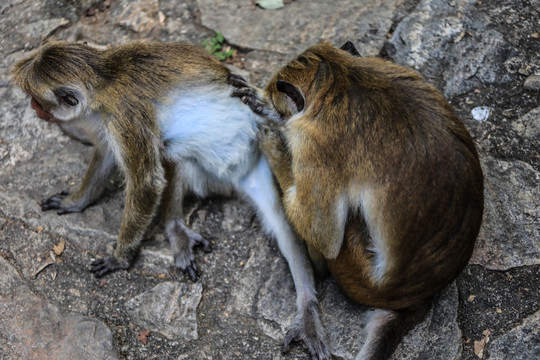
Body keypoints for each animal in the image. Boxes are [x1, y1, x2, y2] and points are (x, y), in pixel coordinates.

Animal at [236, 40, 486, 358]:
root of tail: (421, 296)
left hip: (353, 269)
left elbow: (325, 237)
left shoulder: (315, 144)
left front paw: (274, 135)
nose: (279, 119)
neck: (339, 79)